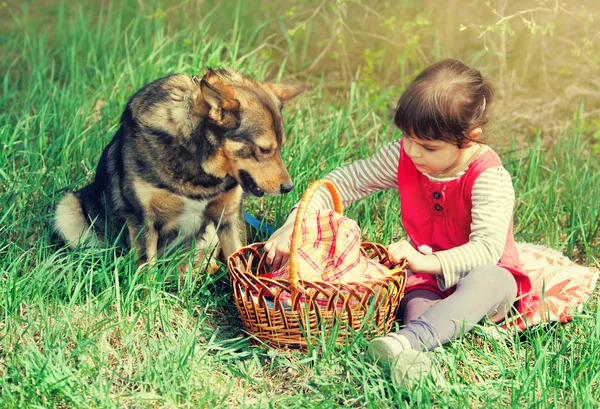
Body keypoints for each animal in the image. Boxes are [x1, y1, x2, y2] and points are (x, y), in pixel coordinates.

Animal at [53, 68, 302, 270]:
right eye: (264, 149)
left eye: (281, 147)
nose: (289, 188)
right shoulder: (143, 220)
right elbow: (147, 273)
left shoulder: (229, 216)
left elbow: (240, 266)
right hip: (67, 210)